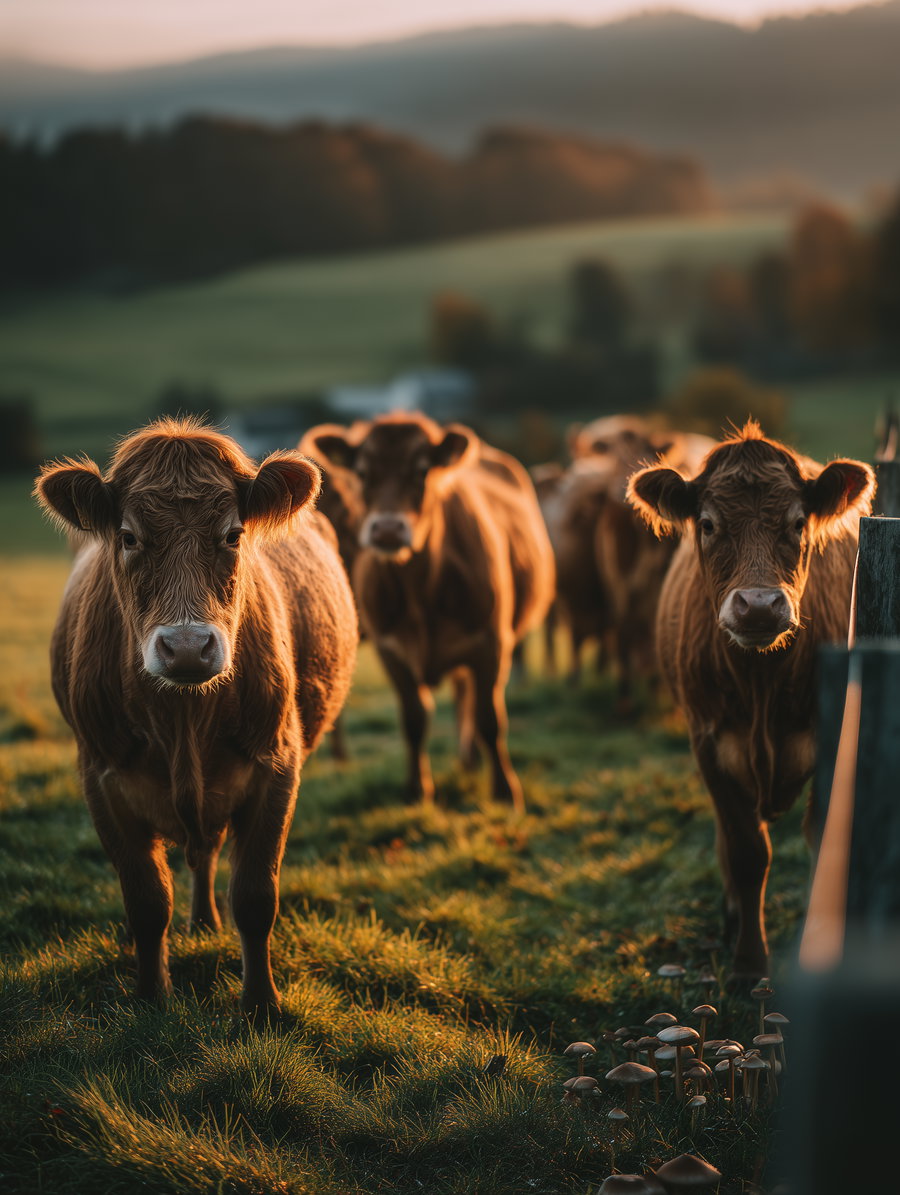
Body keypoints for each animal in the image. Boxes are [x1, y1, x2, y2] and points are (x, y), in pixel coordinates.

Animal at [35, 419, 358, 1017]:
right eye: (128, 537)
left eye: (233, 535)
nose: (187, 648)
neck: (181, 718)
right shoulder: (101, 778)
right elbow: (145, 900)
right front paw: (150, 998)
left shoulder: (276, 767)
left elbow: (254, 897)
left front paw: (261, 1004)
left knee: (205, 851)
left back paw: (206, 922)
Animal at [304, 412, 556, 813]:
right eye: (362, 472)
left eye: (421, 470)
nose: (387, 529)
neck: (420, 589)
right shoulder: (391, 650)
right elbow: (414, 719)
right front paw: (417, 791)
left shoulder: (491, 644)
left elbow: (490, 720)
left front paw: (505, 793)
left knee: (468, 699)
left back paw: (470, 760)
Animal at [627, 421, 874, 979]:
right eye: (708, 524)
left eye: (798, 522)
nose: (758, 605)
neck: (762, 685)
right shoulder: (708, 743)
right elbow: (745, 852)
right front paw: (748, 962)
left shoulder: (833, 739)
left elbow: (821, 838)